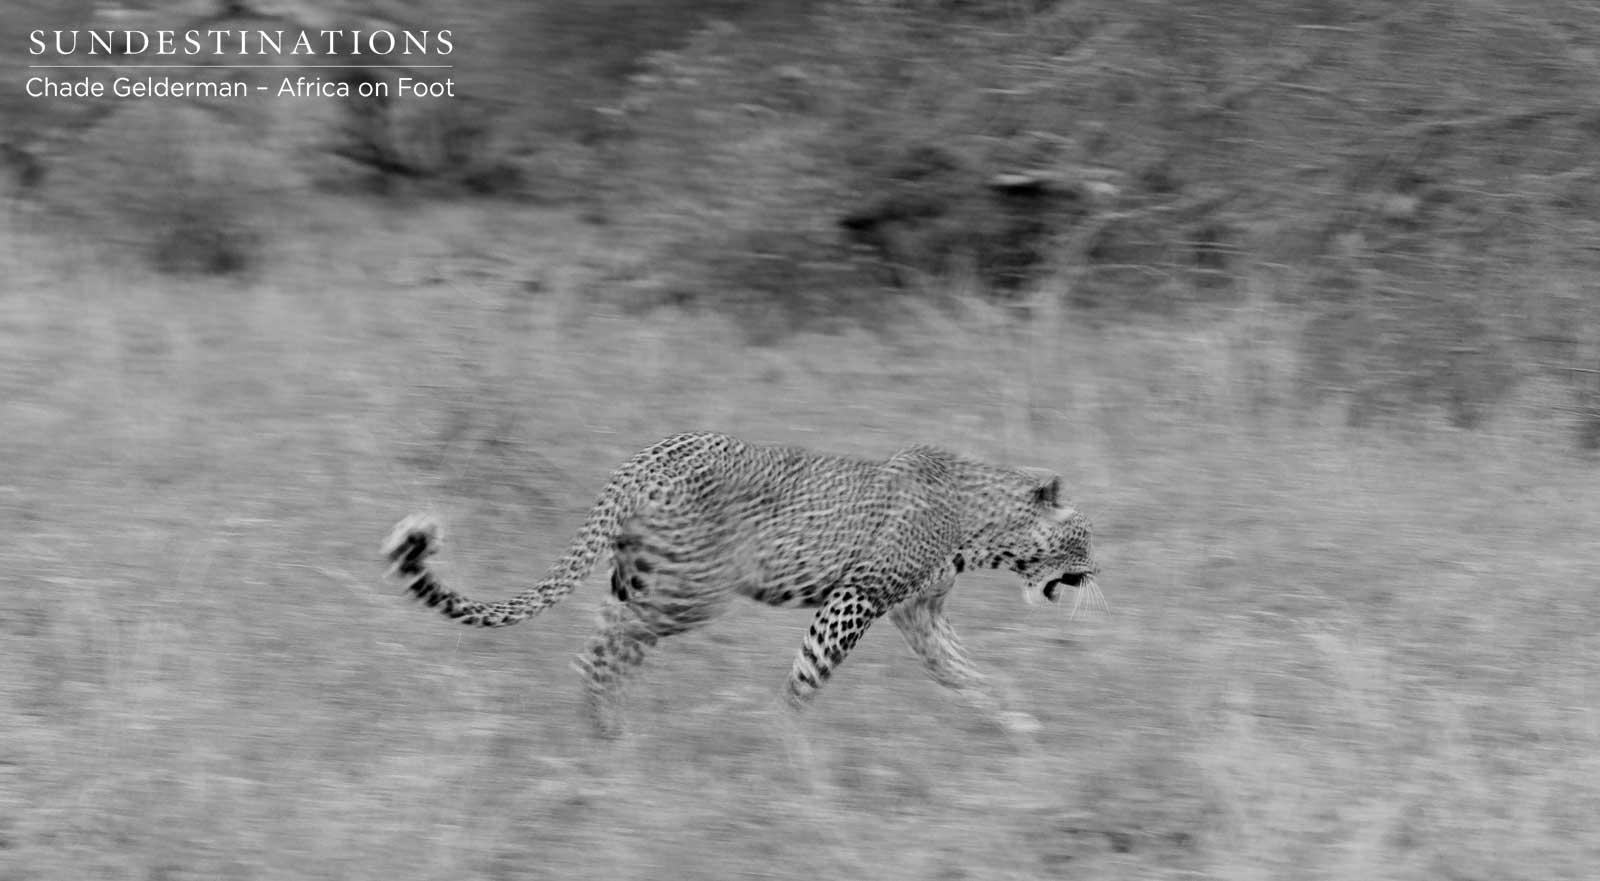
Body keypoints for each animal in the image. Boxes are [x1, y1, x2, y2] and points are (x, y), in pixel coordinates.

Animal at [383, 431, 1099, 738]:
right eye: (1086, 537)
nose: (1098, 574)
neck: (984, 531)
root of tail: (646, 457)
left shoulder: (919, 615)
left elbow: (961, 670)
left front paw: (1012, 718)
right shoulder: (858, 598)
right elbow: (810, 672)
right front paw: (783, 738)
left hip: (642, 579)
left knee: (610, 642)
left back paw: (606, 729)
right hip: (690, 593)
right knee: (604, 649)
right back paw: (608, 730)